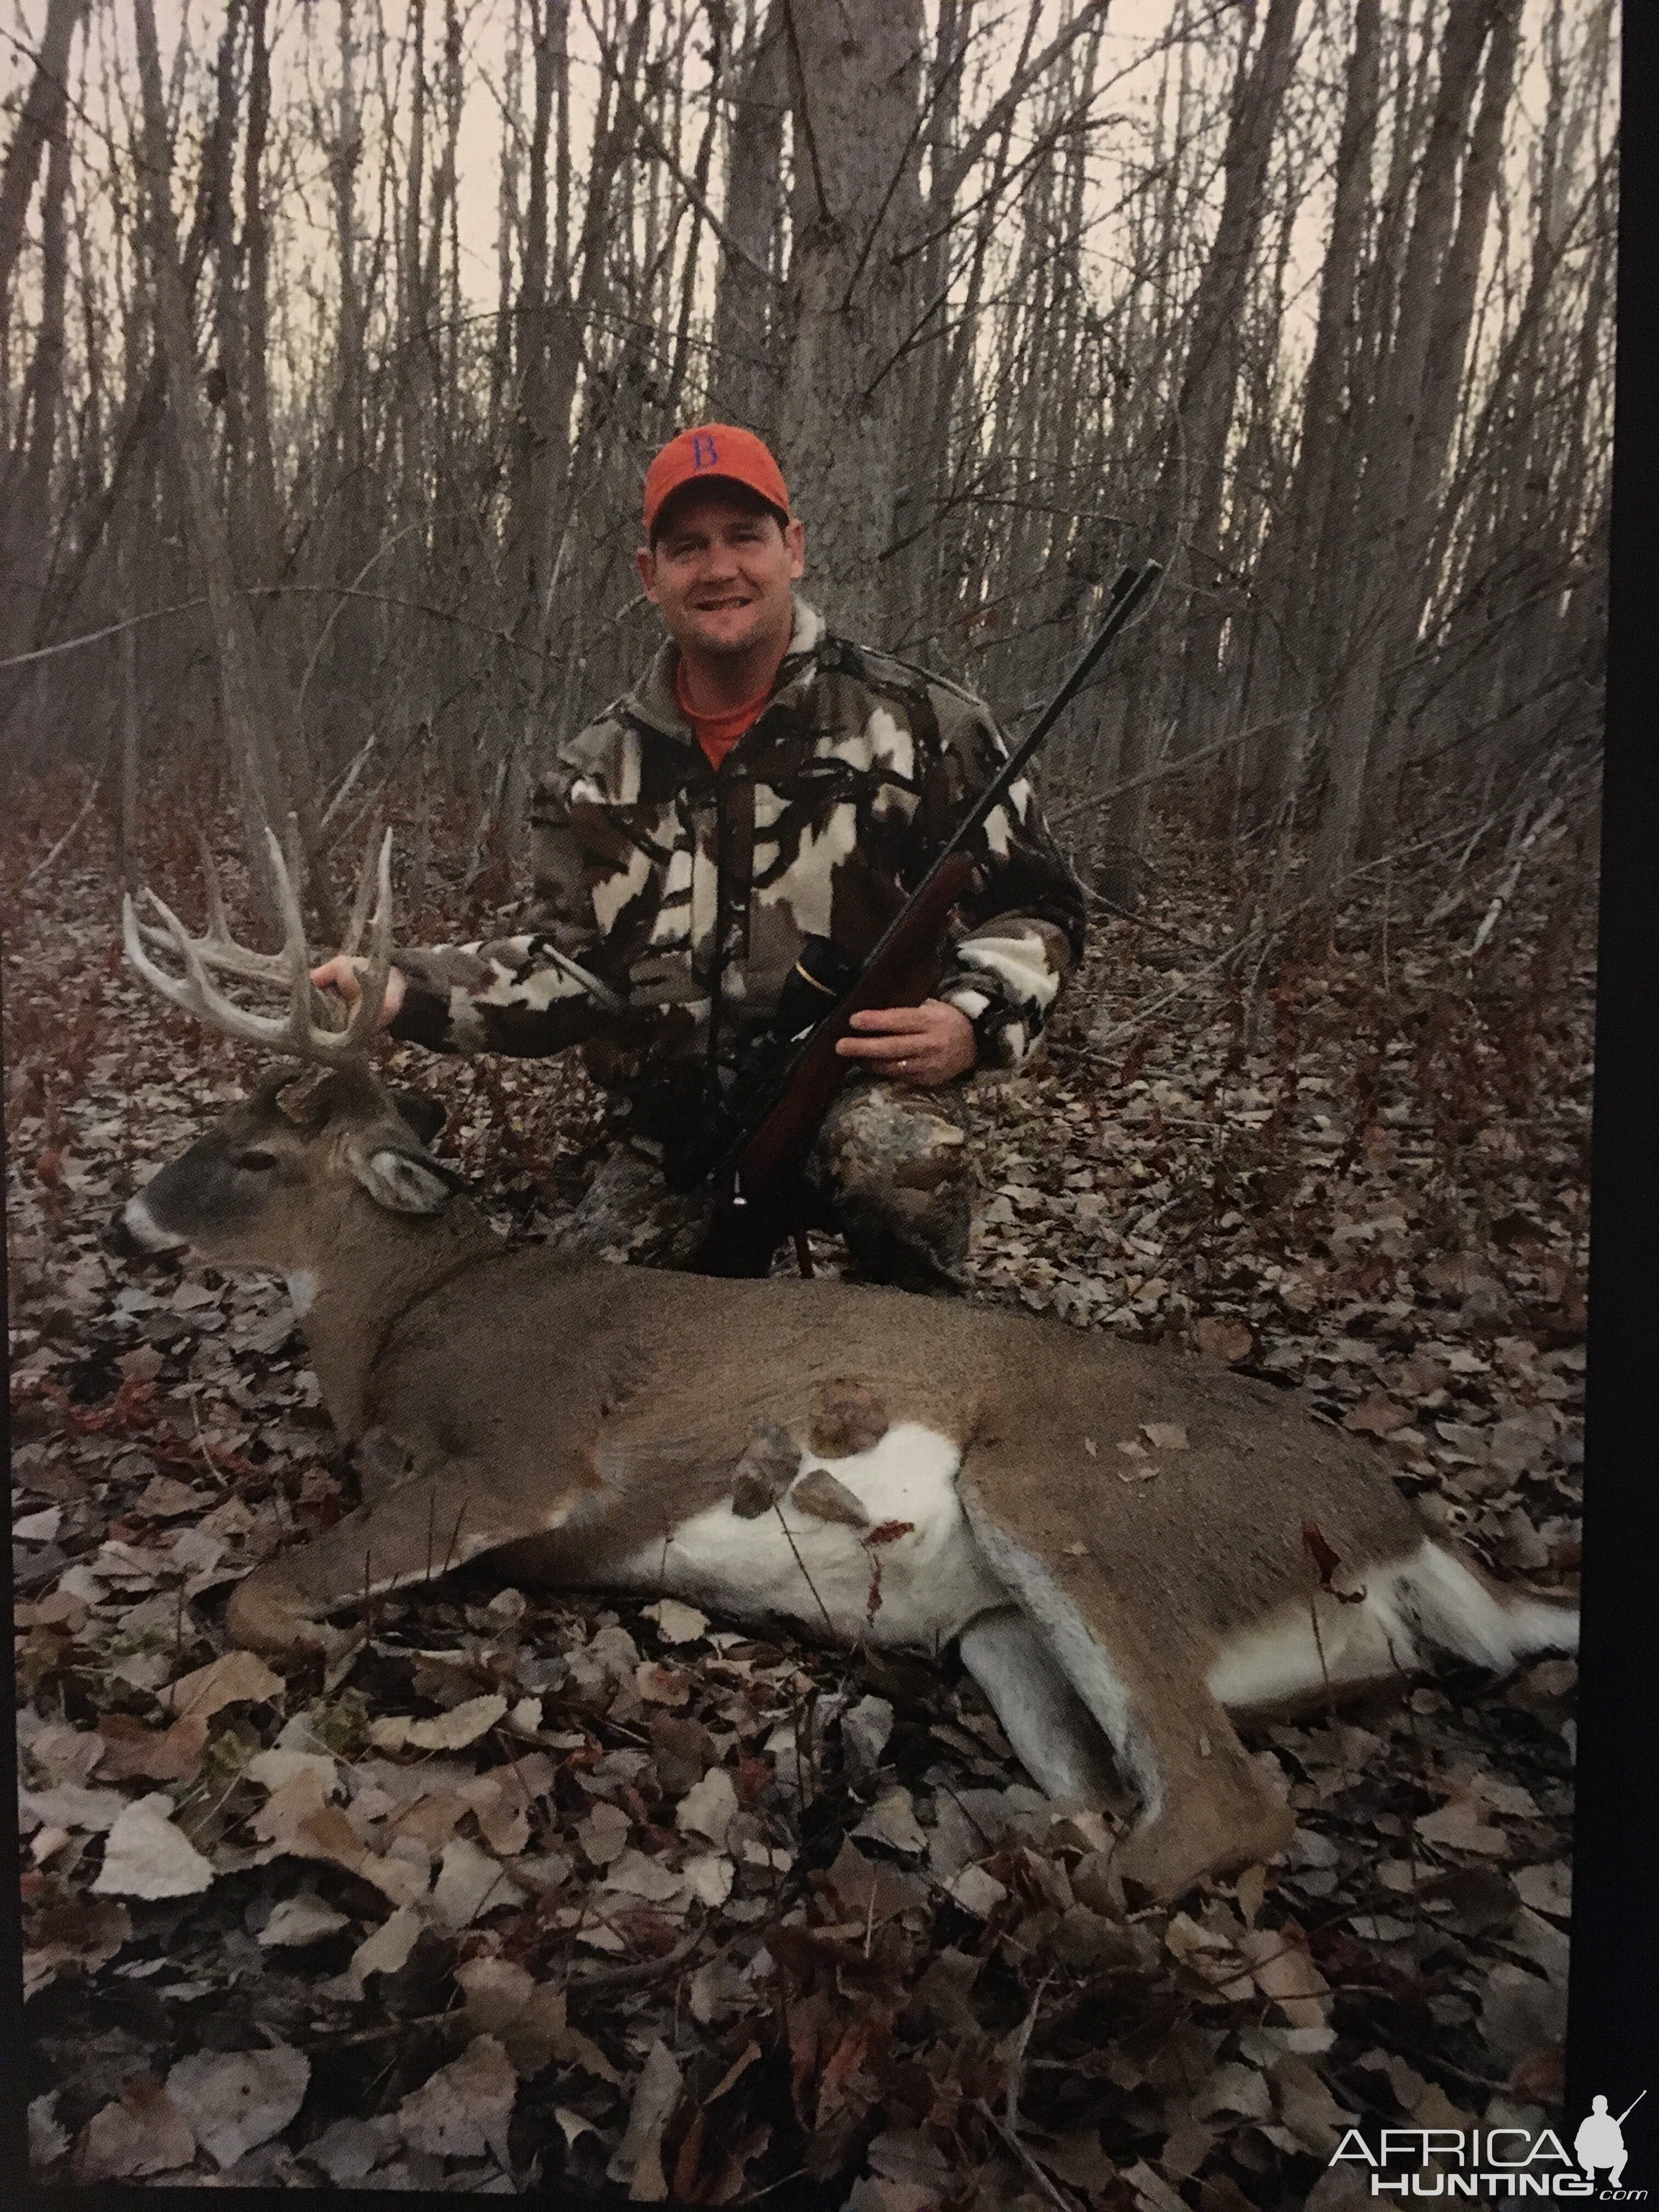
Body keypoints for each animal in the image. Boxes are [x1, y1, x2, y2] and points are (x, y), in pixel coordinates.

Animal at [120, 832, 1583, 1902]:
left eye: (256, 1155)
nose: (126, 1215)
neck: (403, 1317)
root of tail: (1418, 1538)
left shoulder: (526, 1453)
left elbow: (263, 1593)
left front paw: (371, 1651)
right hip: (1008, 1628)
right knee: (1111, 1794)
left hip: (1083, 1497)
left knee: (1217, 1809)